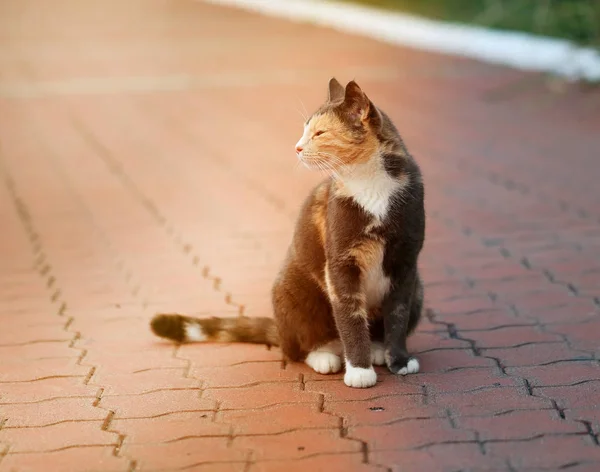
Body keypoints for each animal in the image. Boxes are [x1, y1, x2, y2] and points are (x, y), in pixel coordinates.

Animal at [150, 77, 424, 388]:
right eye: (305, 130)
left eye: (319, 132)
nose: (297, 147)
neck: (370, 184)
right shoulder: (340, 264)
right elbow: (350, 317)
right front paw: (359, 371)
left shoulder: (406, 263)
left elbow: (398, 316)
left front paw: (399, 360)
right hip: (292, 289)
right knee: (298, 348)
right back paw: (325, 356)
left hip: (419, 290)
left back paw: (377, 349)